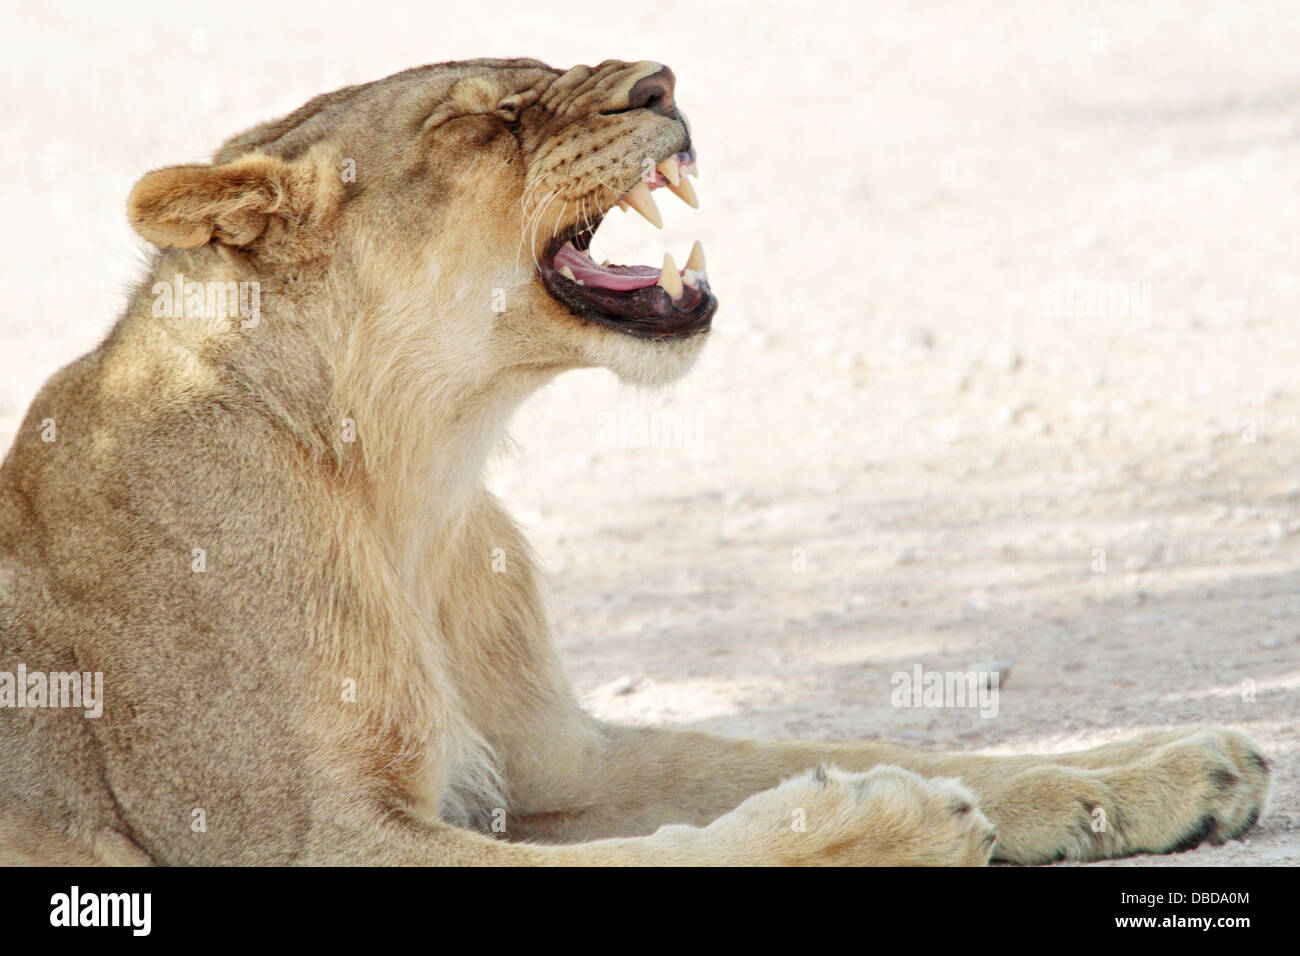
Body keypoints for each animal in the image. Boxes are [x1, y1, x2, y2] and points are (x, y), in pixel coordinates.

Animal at [0, 58, 1269, 865]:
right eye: (486, 119)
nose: (660, 82)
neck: (418, 476)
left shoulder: (559, 766)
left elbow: (824, 744)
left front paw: (1154, 770)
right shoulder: (294, 836)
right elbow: (661, 854)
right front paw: (881, 828)